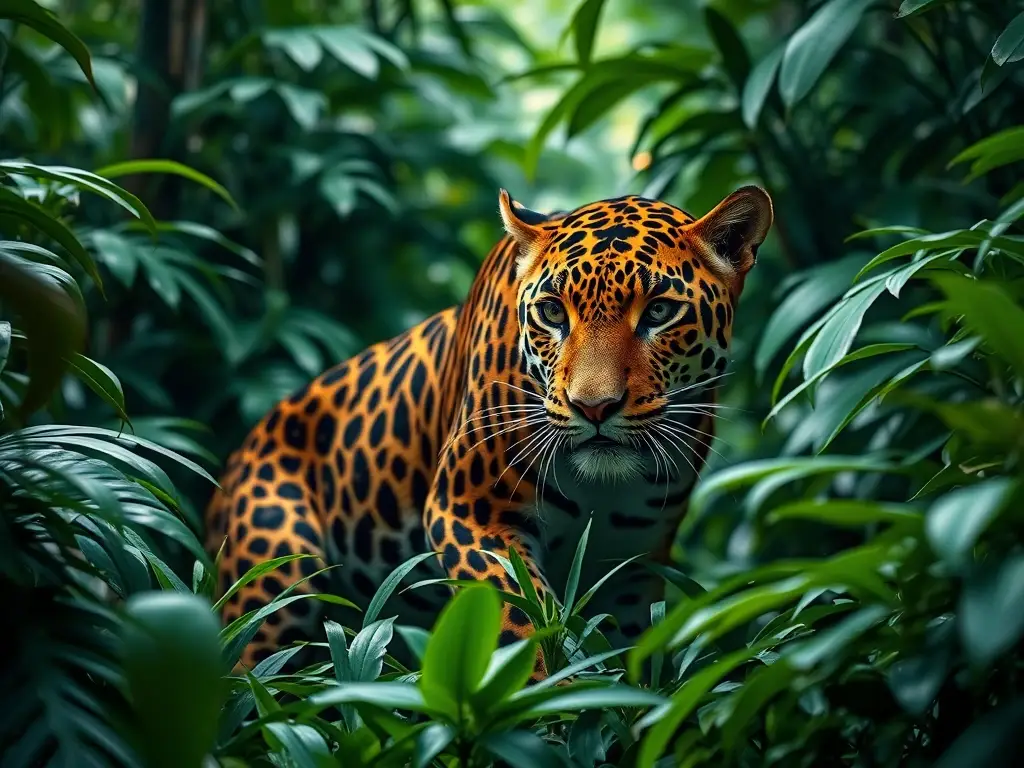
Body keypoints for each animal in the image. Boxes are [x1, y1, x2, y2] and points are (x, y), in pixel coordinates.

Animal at [205, 185, 773, 678]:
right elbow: (520, 619)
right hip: (275, 577)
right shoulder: (467, 511)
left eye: (659, 311)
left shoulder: (631, 570)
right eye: (552, 312)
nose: (593, 407)